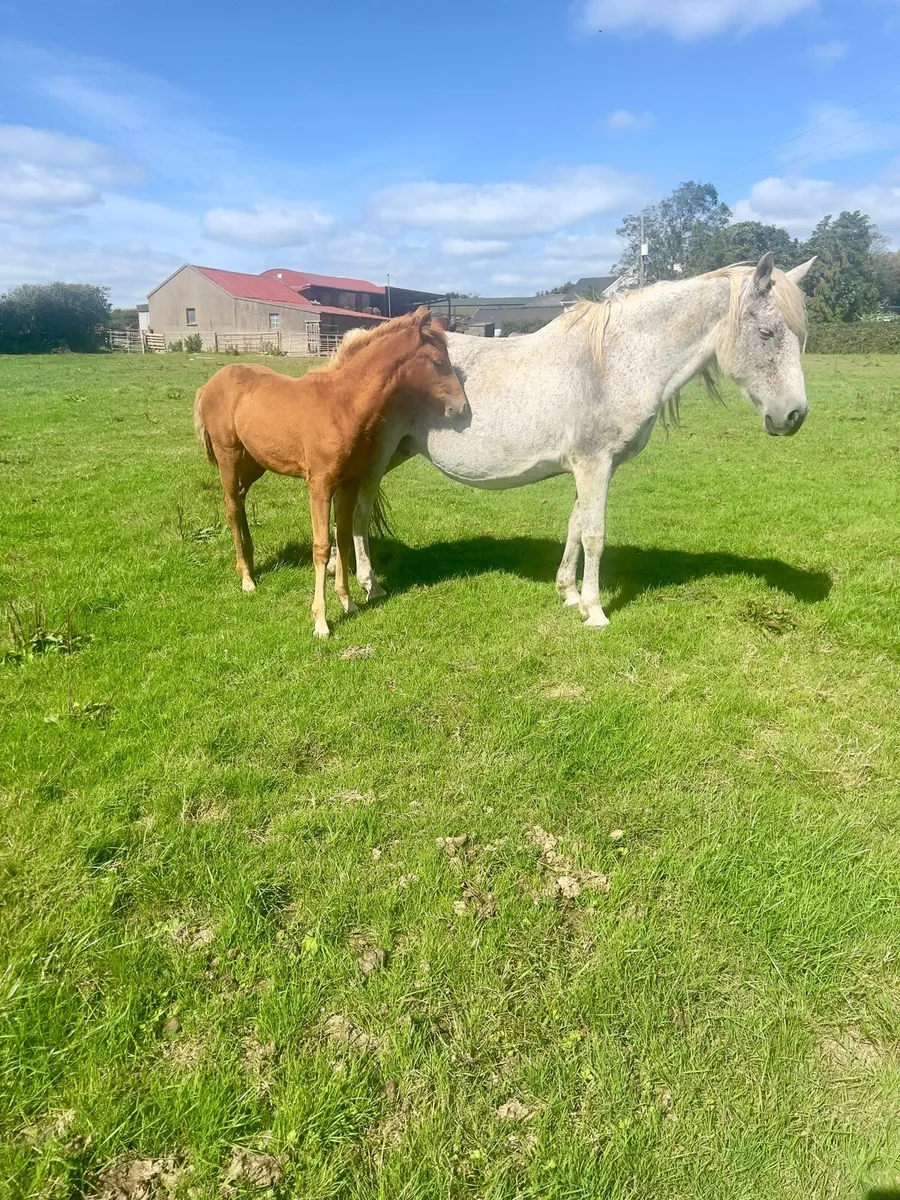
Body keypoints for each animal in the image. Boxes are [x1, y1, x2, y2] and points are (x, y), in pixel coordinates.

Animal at [193, 307, 467, 638]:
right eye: (438, 362)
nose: (462, 409)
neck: (343, 405)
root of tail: (209, 384)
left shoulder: (349, 482)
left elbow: (345, 537)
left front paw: (348, 602)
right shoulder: (321, 484)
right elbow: (322, 547)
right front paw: (321, 621)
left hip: (255, 462)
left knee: (242, 499)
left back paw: (251, 559)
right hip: (229, 456)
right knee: (232, 507)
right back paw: (246, 578)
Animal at [338, 253, 817, 629]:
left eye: (800, 336)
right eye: (767, 333)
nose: (793, 416)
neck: (614, 364)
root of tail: (357, 346)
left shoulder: (588, 467)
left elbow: (573, 526)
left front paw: (568, 594)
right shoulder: (594, 464)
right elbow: (594, 534)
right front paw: (596, 610)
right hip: (379, 456)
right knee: (358, 514)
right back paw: (369, 586)